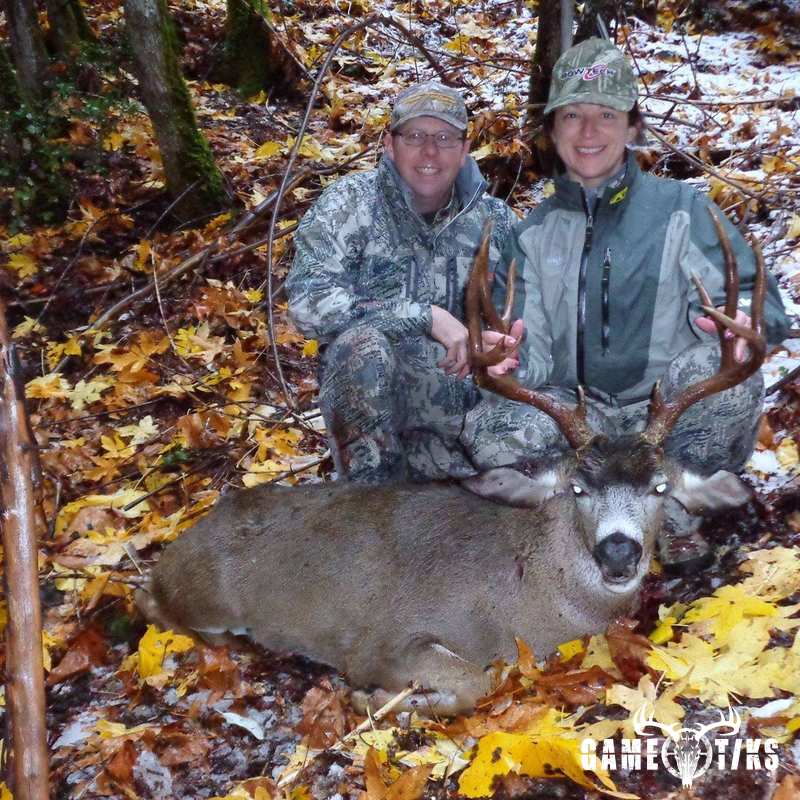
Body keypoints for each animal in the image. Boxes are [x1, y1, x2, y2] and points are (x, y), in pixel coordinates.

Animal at [136, 210, 766, 715]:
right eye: (577, 489)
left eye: (660, 487)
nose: (619, 552)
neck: (521, 605)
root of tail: (179, 545)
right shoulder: (382, 640)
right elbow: (474, 682)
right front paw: (375, 699)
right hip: (203, 593)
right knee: (155, 607)